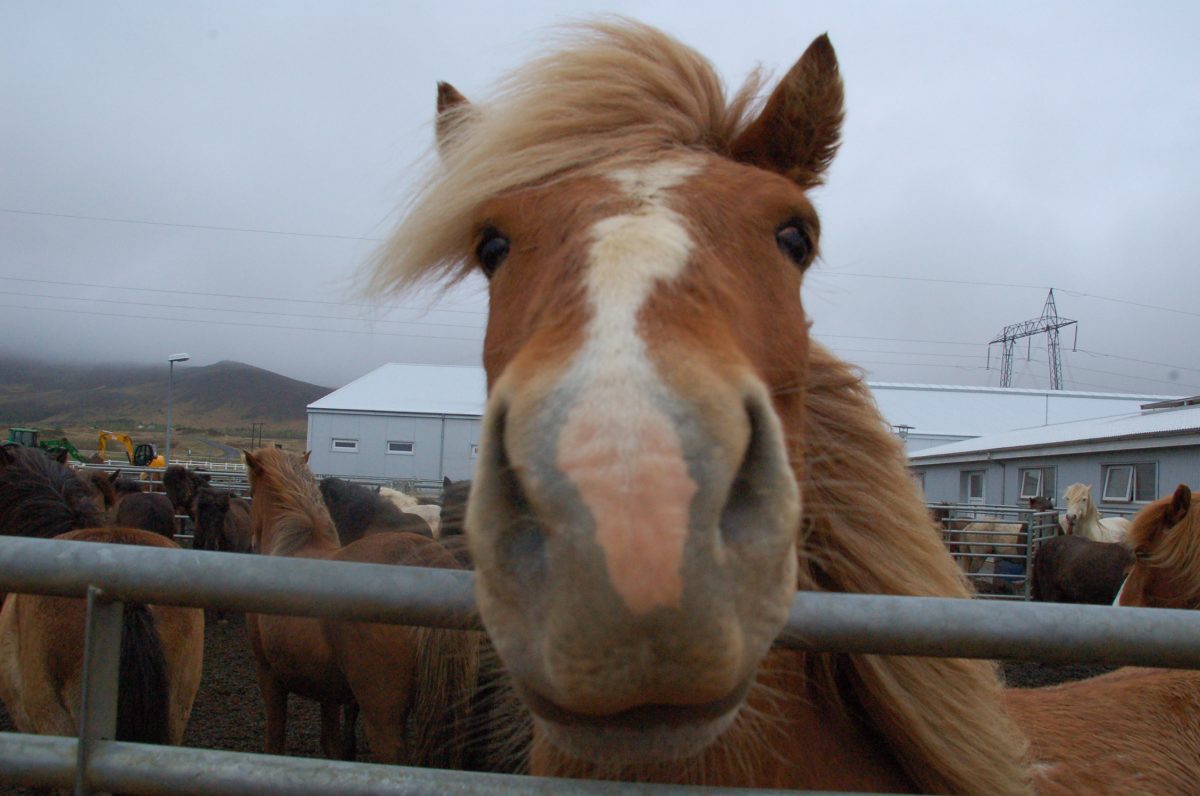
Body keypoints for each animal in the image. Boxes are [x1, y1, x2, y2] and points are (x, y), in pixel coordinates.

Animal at [243, 447, 478, 767]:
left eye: (252, 493)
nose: (250, 543)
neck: (293, 545)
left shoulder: (269, 674)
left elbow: (275, 740)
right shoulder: (328, 690)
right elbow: (331, 742)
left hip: (383, 714)